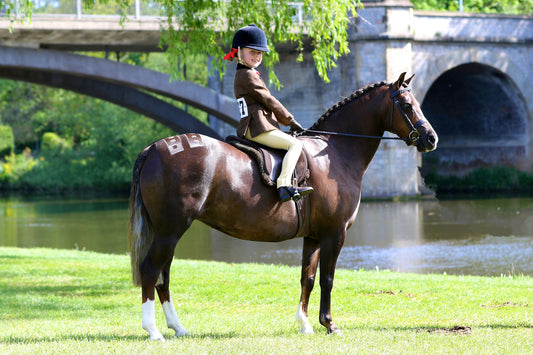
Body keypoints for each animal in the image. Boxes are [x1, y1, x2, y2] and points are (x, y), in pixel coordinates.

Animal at [128, 71, 436, 340]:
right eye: (406, 105)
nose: (431, 138)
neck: (334, 153)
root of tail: (154, 147)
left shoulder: (313, 236)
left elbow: (307, 278)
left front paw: (305, 324)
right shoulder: (334, 234)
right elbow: (327, 278)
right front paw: (329, 324)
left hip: (168, 232)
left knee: (163, 275)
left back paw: (178, 327)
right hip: (170, 231)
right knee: (150, 270)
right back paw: (153, 330)